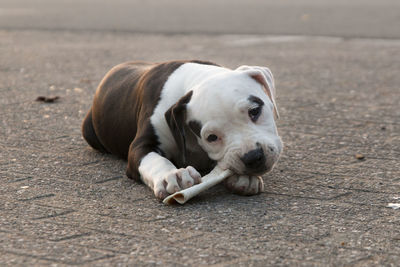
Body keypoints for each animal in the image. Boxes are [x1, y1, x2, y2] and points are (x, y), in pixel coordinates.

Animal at [81, 60, 282, 201]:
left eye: (254, 111)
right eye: (211, 137)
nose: (253, 156)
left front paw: (244, 178)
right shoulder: (141, 145)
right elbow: (155, 160)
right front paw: (172, 175)